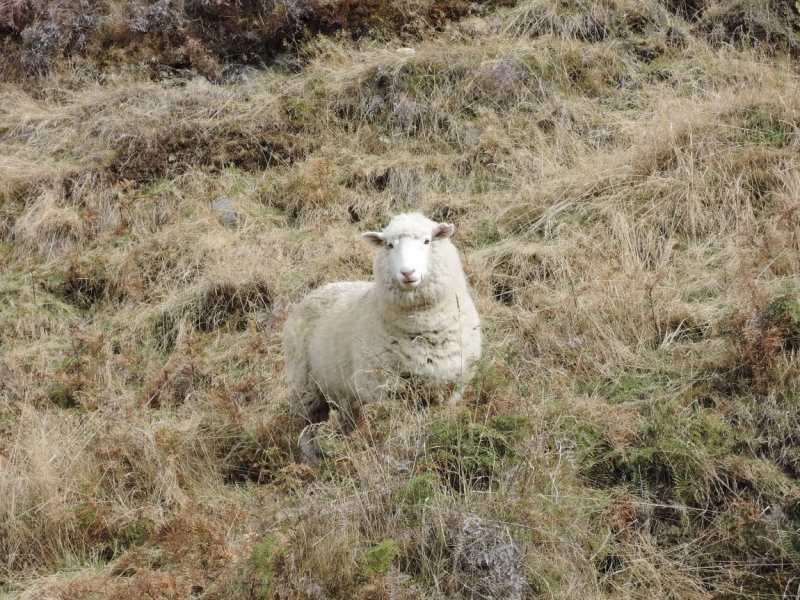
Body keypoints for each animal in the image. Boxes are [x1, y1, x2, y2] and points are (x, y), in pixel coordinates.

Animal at [282, 213, 482, 462]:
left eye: (427, 241)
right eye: (390, 245)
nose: (408, 273)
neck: (424, 329)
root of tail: (319, 289)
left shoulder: (448, 389)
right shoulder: (384, 392)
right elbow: (394, 435)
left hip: (345, 395)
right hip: (305, 387)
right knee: (306, 430)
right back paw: (311, 460)